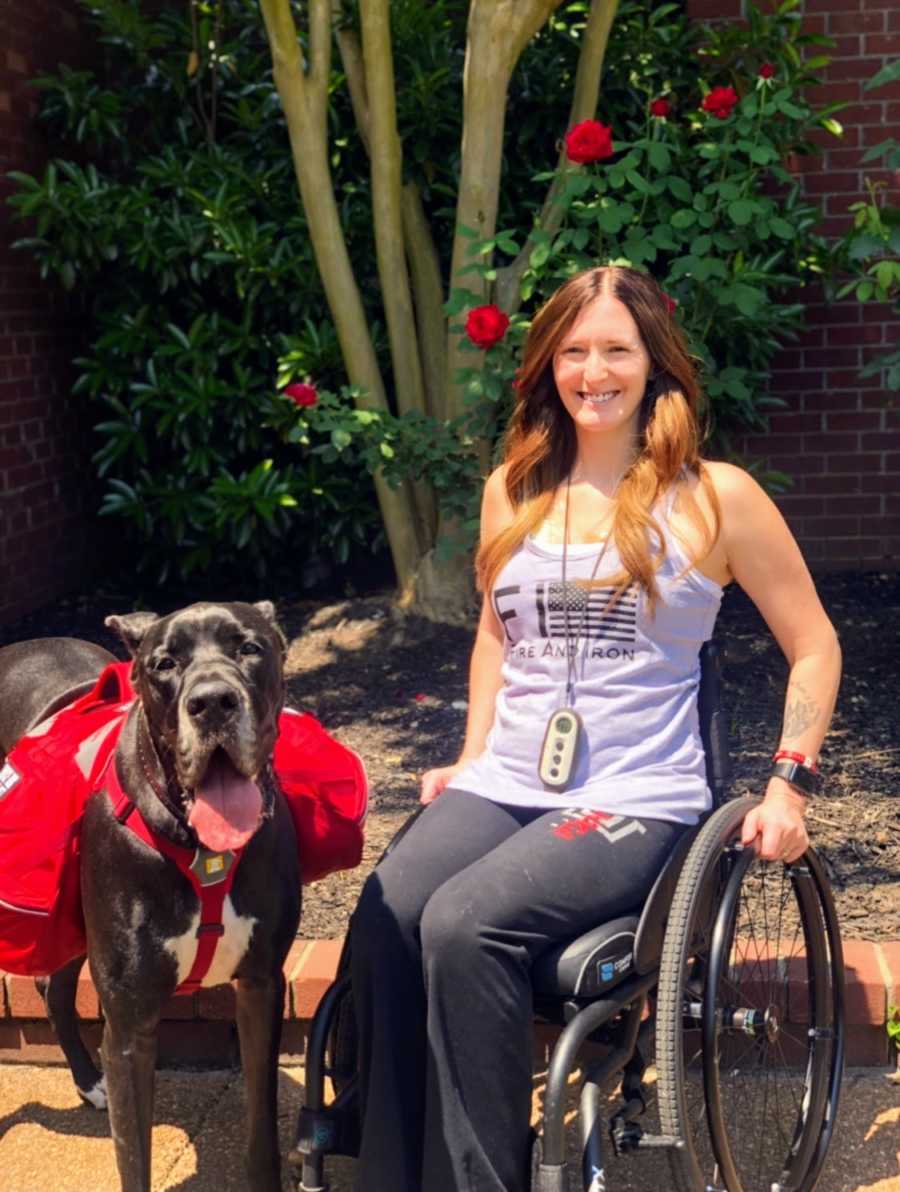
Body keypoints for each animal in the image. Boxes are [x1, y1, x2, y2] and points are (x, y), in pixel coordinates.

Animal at [0, 605, 302, 1192]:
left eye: (249, 648)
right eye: (164, 663)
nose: (213, 702)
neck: (202, 846)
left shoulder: (260, 987)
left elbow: (262, 1129)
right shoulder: (130, 1027)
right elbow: (132, 1156)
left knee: (54, 986)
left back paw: (87, 1081)